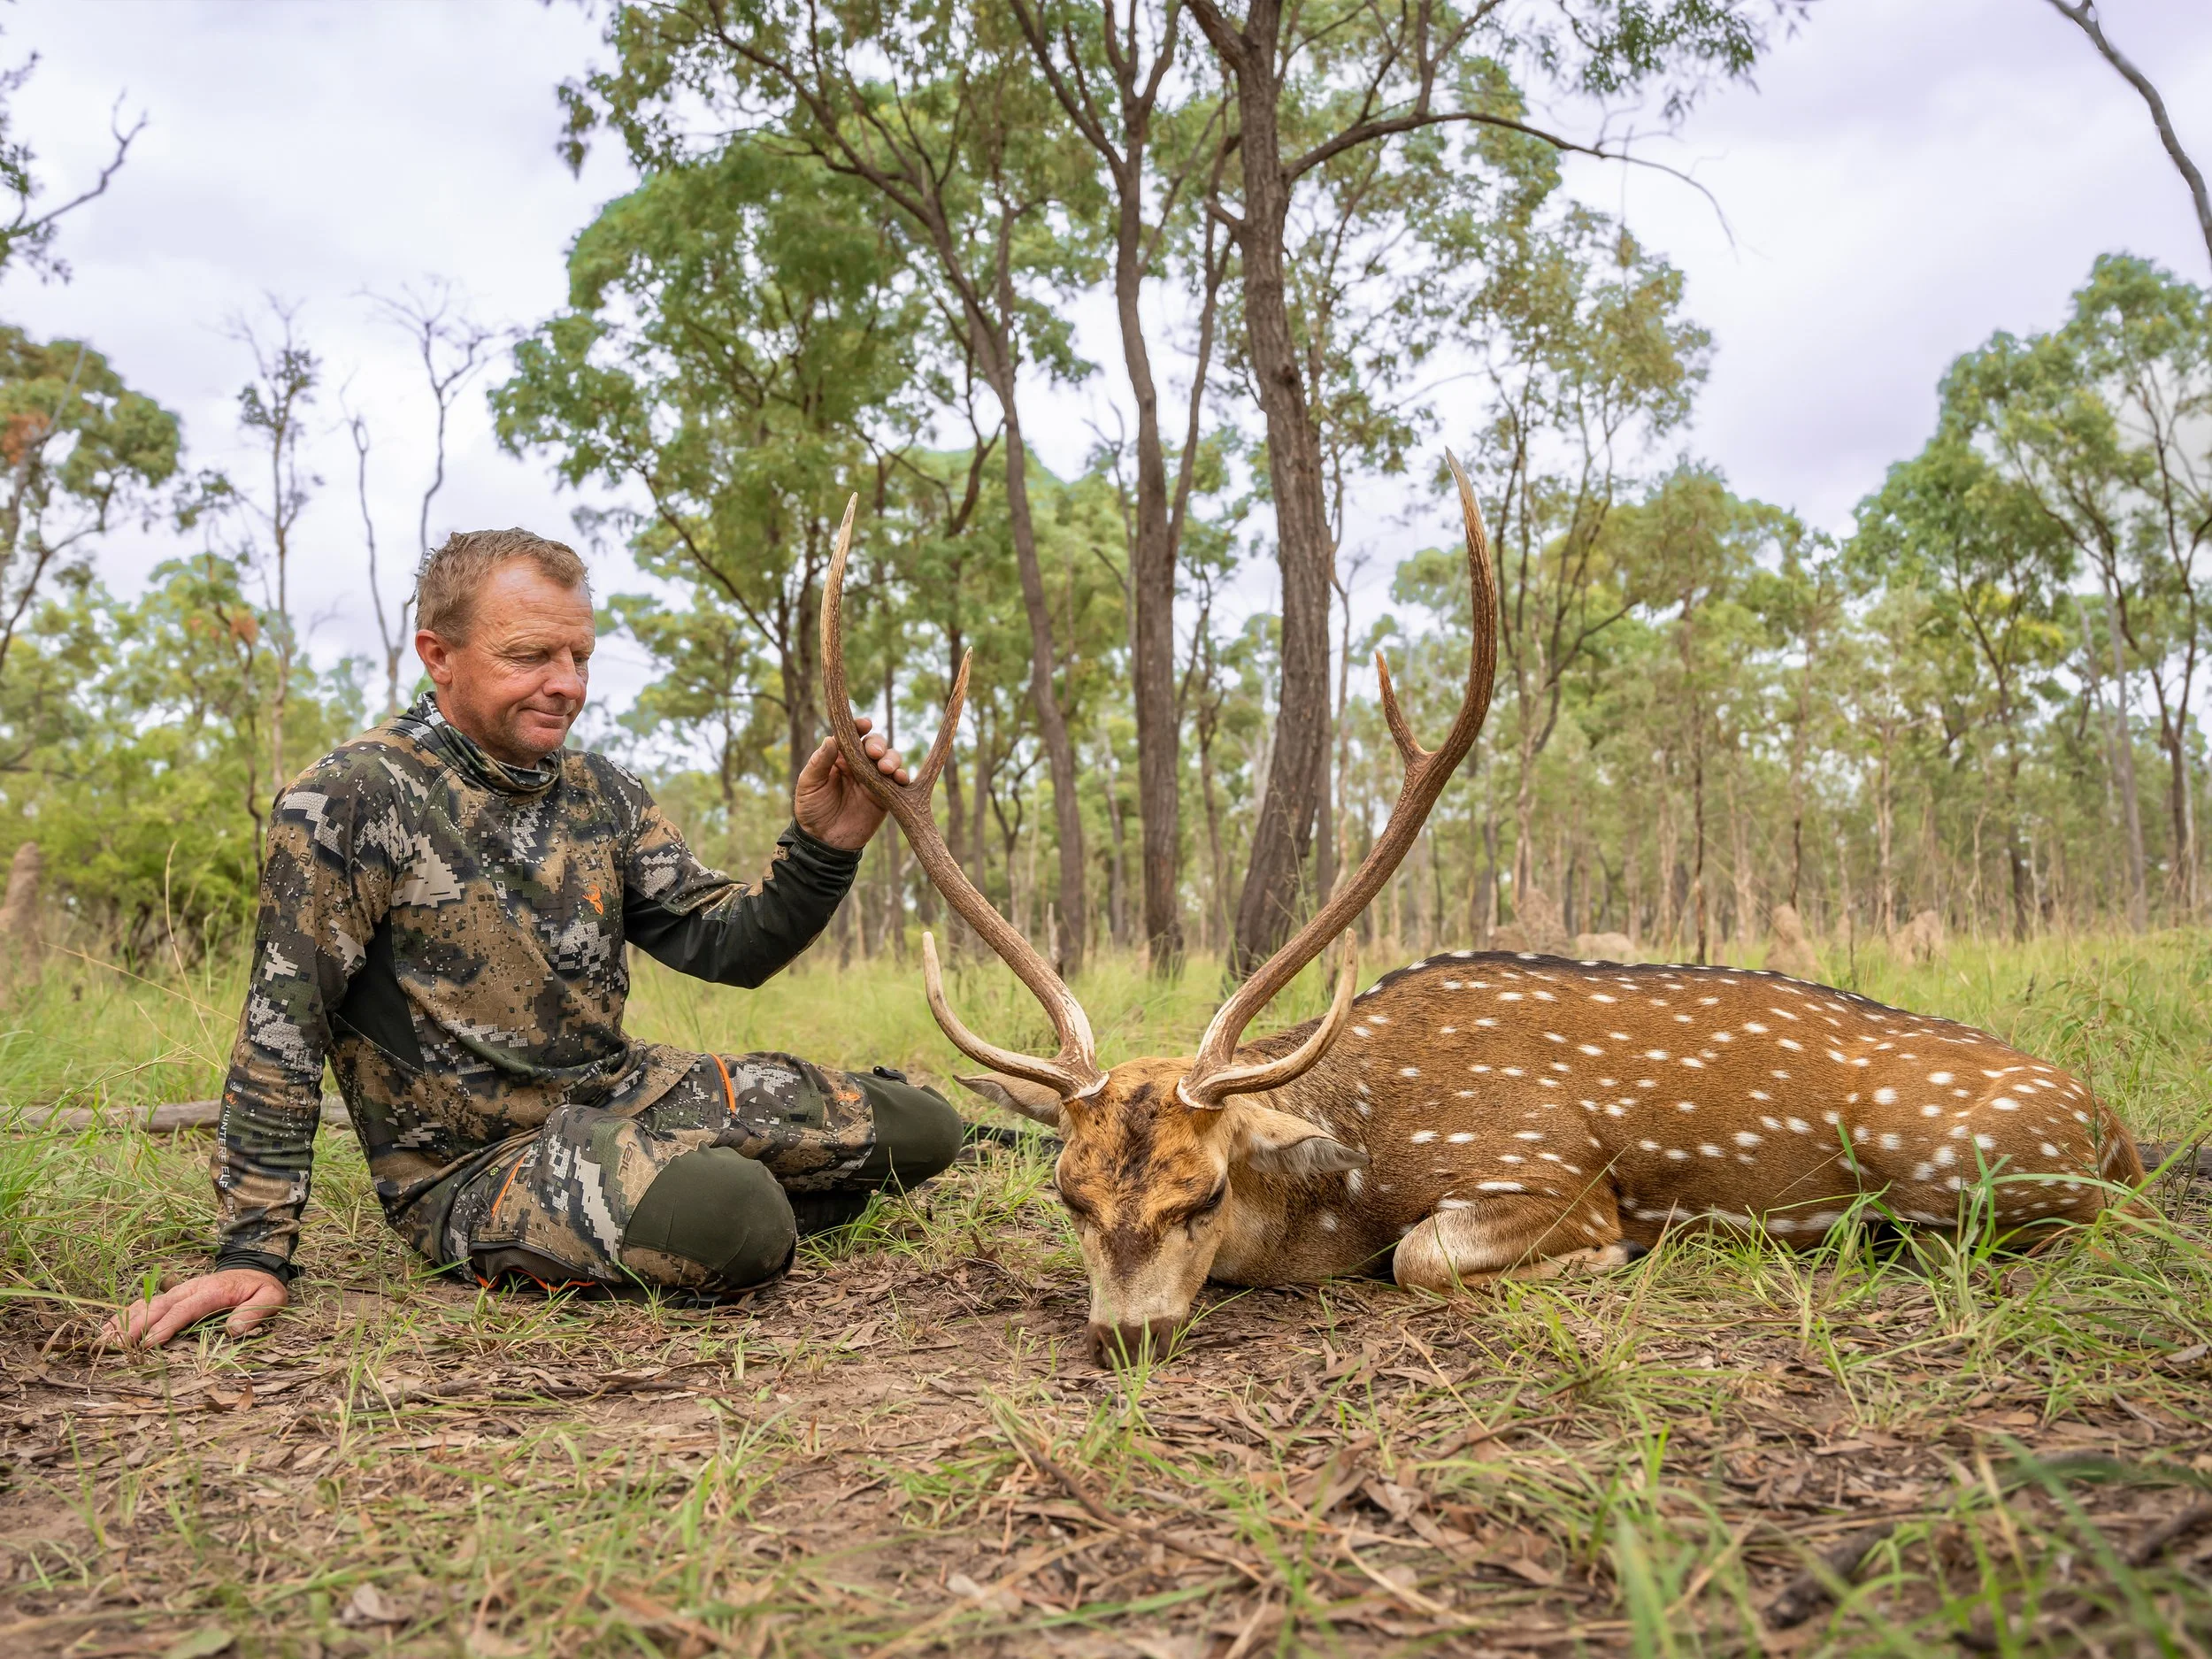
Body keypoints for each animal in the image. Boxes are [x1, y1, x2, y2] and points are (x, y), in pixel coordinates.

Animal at [820, 461, 2145, 1365]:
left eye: (1201, 1194)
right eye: (1067, 1193)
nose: (1126, 1334)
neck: (1355, 1162)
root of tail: (2117, 1122)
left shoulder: (1540, 1163)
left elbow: (1425, 1256)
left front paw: (1610, 1258)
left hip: (1957, 1161)